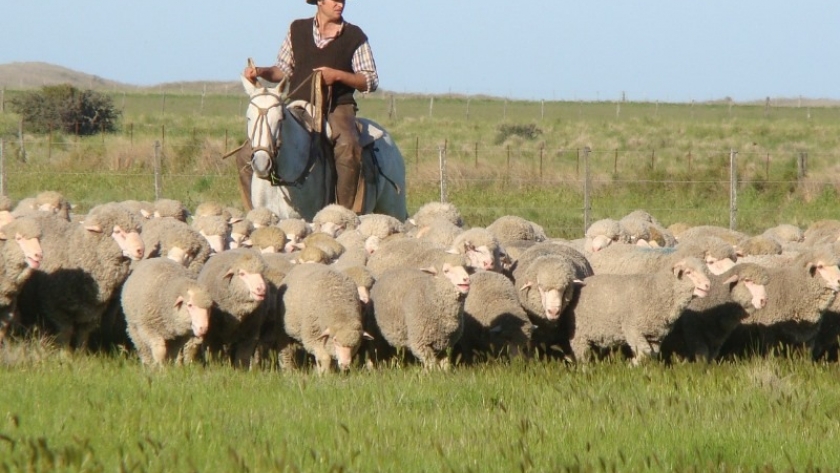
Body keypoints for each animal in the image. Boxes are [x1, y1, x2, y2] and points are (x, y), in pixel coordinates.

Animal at [17, 201, 145, 348]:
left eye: (138, 231)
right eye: (118, 231)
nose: (140, 250)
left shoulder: (93, 310)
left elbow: (83, 333)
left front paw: (80, 351)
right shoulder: (56, 306)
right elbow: (66, 331)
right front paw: (64, 352)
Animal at [560, 256, 712, 364]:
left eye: (705, 272)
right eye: (688, 272)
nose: (708, 285)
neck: (656, 291)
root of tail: (578, 284)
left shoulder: (655, 337)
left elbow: (651, 354)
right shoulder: (632, 328)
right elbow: (644, 352)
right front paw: (632, 364)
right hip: (579, 334)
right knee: (582, 355)